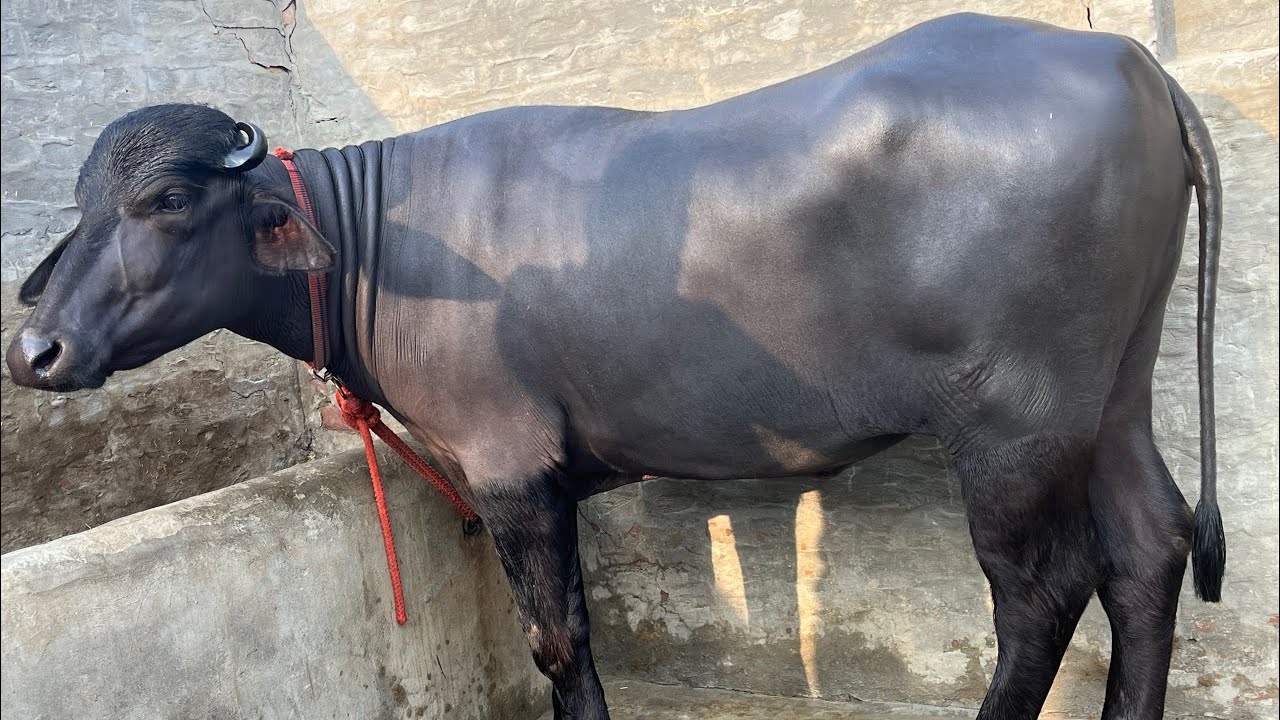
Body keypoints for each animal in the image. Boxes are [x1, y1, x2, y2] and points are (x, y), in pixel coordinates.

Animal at [5, 13, 1224, 720]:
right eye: (81, 204)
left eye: (168, 198)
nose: (34, 350)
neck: (379, 240)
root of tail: (1134, 65)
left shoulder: (509, 466)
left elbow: (555, 644)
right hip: (1112, 393)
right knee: (1147, 549)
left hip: (1015, 420)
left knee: (1039, 594)